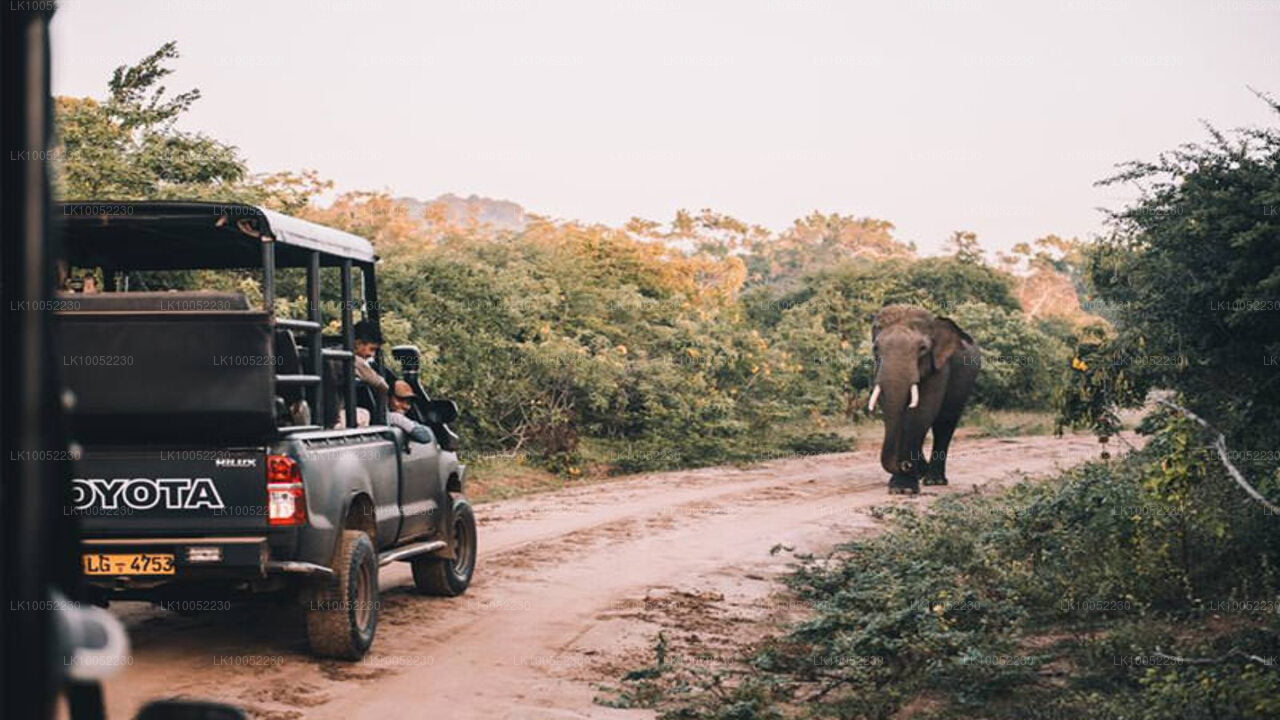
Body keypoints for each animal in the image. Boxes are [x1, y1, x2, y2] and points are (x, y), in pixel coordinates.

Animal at [870, 302, 977, 491]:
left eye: (922, 349)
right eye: (875, 348)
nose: (904, 465)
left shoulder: (940, 367)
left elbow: (923, 410)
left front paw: (903, 488)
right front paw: (900, 486)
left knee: (945, 423)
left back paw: (934, 480)